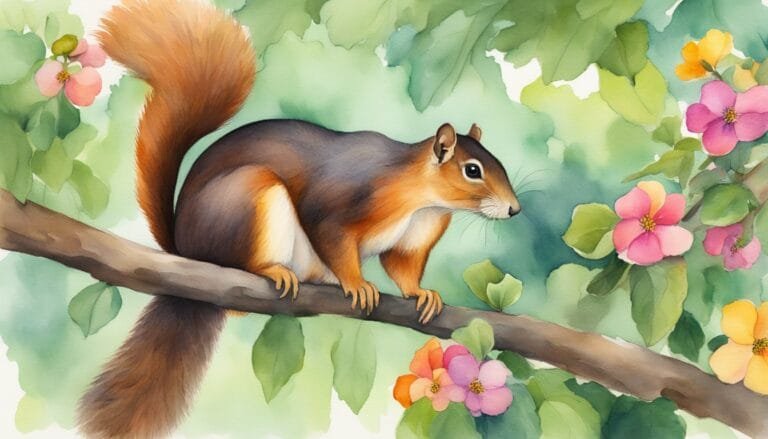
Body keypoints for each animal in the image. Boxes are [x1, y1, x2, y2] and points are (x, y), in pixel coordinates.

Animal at [76, 0, 520, 437]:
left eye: (499, 163)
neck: (423, 201)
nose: (514, 209)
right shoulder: (339, 203)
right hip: (249, 197)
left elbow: (401, 265)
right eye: (473, 170)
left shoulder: (417, 235)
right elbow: (331, 233)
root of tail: (185, 251)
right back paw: (273, 271)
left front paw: (421, 293)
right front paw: (357, 283)